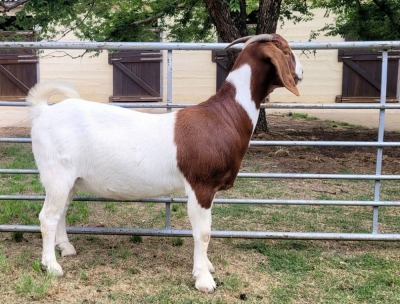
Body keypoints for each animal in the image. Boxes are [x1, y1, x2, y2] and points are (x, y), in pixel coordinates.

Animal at [28, 33, 302, 294]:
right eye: (287, 52)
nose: (301, 72)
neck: (225, 116)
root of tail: (44, 111)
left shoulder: (207, 189)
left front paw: (206, 266)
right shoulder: (201, 185)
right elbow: (203, 232)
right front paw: (204, 280)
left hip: (71, 180)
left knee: (61, 212)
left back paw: (66, 248)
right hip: (57, 174)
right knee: (47, 217)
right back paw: (51, 266)